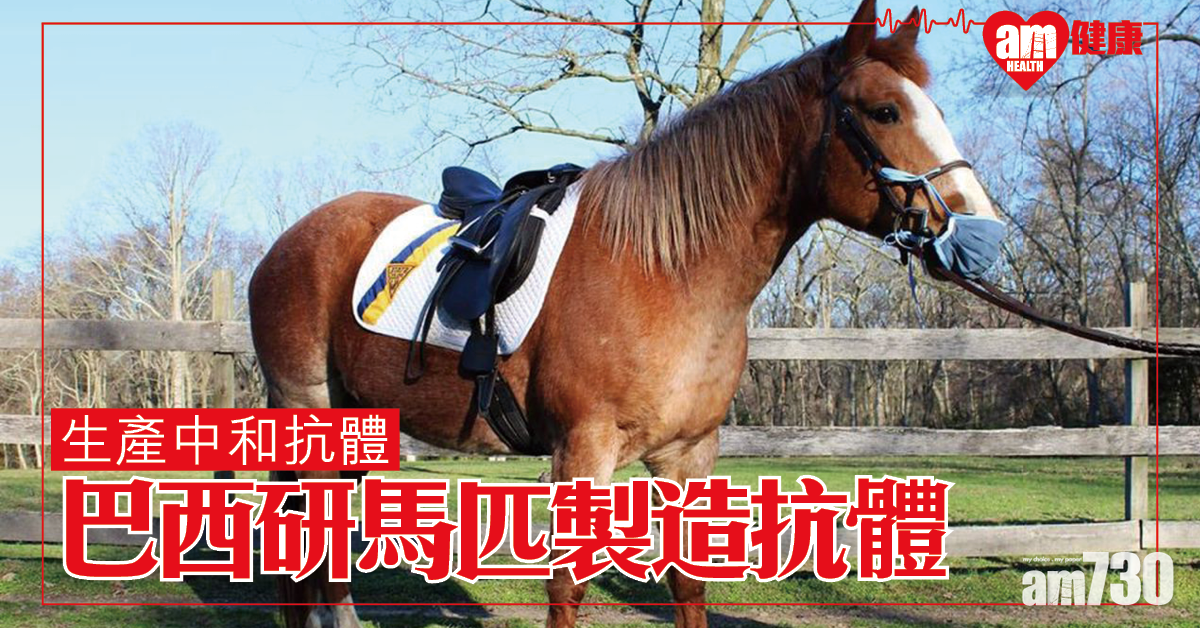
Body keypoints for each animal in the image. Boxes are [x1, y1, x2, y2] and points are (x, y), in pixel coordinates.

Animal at [248, 1, 997, 626]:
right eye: (884, 112)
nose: (982, 234)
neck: (665, 270)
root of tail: (287, 244)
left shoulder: (687, 454)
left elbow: (688, 584)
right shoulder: (584, 449)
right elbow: (567, 586)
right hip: (308, 414)